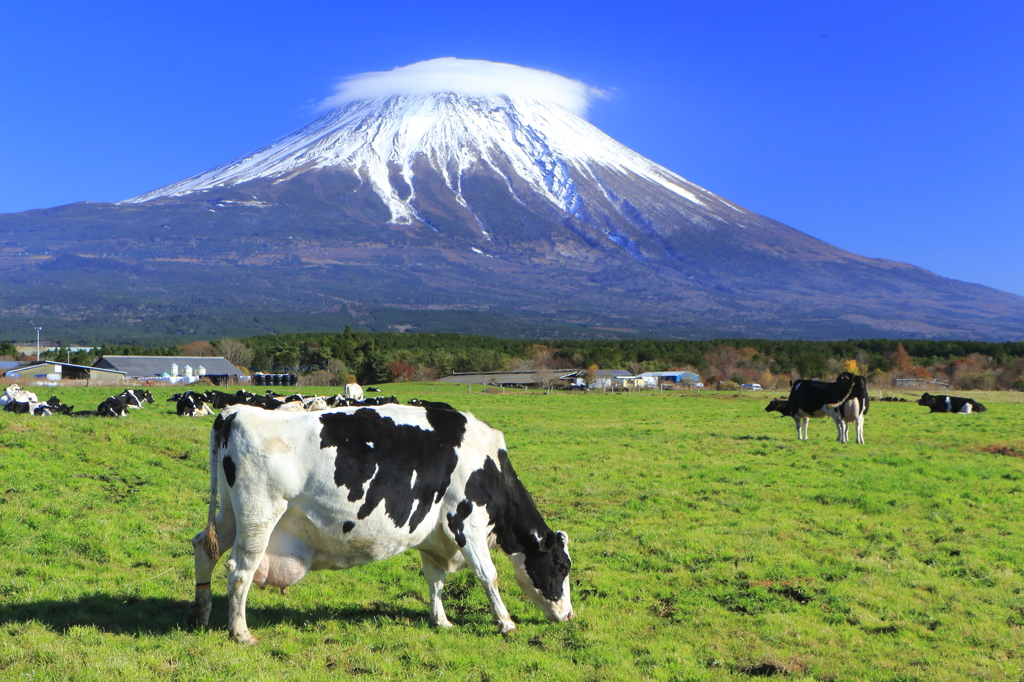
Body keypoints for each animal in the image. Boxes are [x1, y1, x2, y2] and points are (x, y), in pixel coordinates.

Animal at [190, 403, 577, 643]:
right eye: (561, 566)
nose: (570, 615)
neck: (488, 464)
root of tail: (235, 412)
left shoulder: (433, 536)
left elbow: (435, 580)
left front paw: (441, 620)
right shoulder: (465, 523)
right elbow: (488, 575)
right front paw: (506, 623)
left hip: (230, 514)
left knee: (204, 549)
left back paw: (201, 614)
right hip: (259, 515)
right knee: (240, 571)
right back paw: (240, 633)